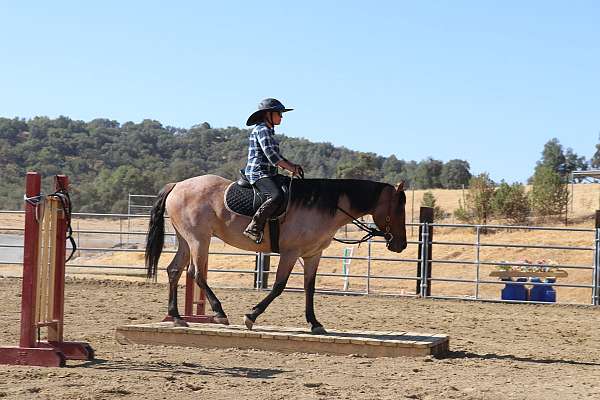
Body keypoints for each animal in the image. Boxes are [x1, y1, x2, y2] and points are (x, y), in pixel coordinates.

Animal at [145, 175, 408, 334]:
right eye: (398, 209)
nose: (401, 245)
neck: (324, 205)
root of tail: (177, 185)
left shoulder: (313, 255)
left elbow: (309, 288)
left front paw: (315, 323)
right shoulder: (290, 253)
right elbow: (279, 286)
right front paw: (251, 316)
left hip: (186, 239)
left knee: (174, 270)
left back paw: (176, 317)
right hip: (199, 239)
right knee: (196, 273)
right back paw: (219, 313)